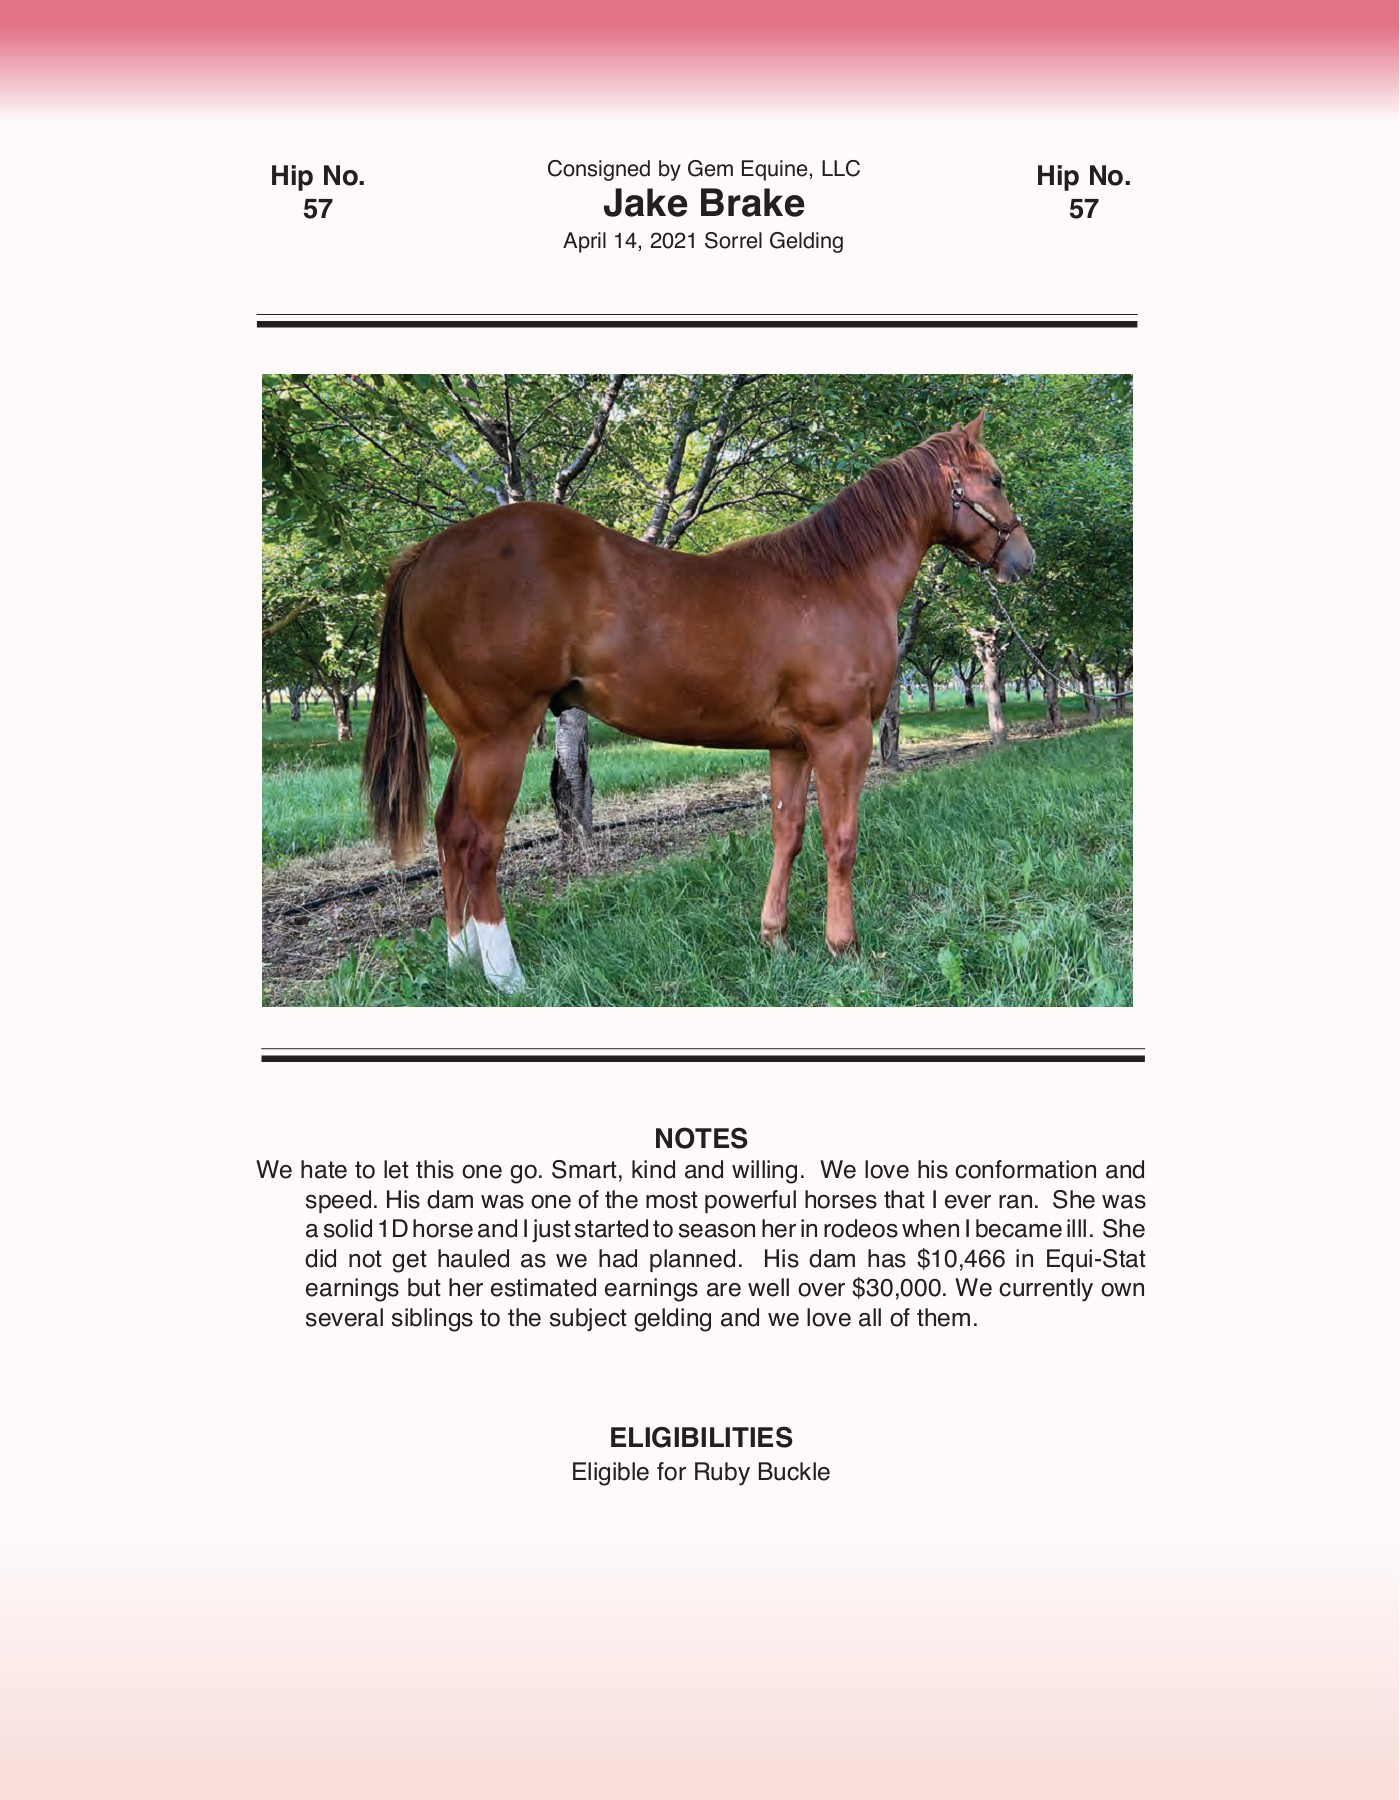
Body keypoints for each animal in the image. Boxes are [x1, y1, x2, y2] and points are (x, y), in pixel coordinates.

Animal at [361, 412, 1033, 994]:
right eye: (996, 479)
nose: (1023, 558)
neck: (836, 578)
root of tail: (427, 554)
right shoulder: (840, 737)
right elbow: (840, 839)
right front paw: (844, 947)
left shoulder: (791, 745)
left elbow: (787, 833)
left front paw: (775, 938)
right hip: (499, 737)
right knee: (480, 844)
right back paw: (507, 977)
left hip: (471, 743)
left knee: (449, 831)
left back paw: (460, 962)